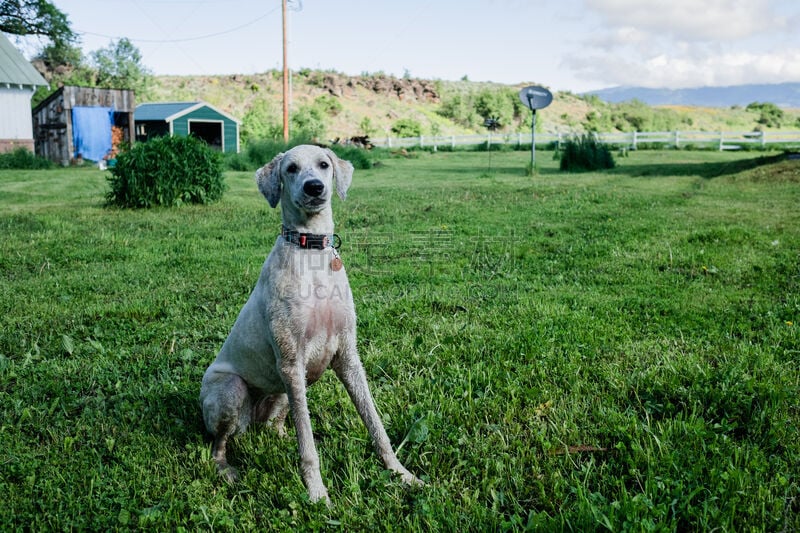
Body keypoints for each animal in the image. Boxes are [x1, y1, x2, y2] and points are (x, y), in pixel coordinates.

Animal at [199, 143, 422, 500]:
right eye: (291, 168)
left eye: (323, 165)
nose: (314, 187)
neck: (312, 253)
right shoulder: (292, 362)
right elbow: (308, 449)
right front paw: (318, 495)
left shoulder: (347, 357)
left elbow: (375, 424)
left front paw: (401, 473)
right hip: (233, 390)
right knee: (219, 443)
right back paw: (226, 469)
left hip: (283, 391)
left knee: (276, 425)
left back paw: (280, 437)